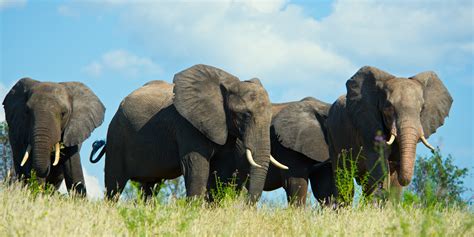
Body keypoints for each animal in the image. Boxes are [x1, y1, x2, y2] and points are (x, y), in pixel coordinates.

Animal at [90, 64, 286, 201]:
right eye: (244, 115)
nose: (246, 205)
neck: (227, 84)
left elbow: (221, 170)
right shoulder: (187, 127)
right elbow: (195, 166)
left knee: (151, 186)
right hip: (116, 136)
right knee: (114, 185)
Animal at [326, 66, 452, 200]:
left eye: (422, 109)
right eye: (389, 108)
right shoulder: (367, 124)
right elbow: (379, 165)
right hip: (332, 135)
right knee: (343, 176)